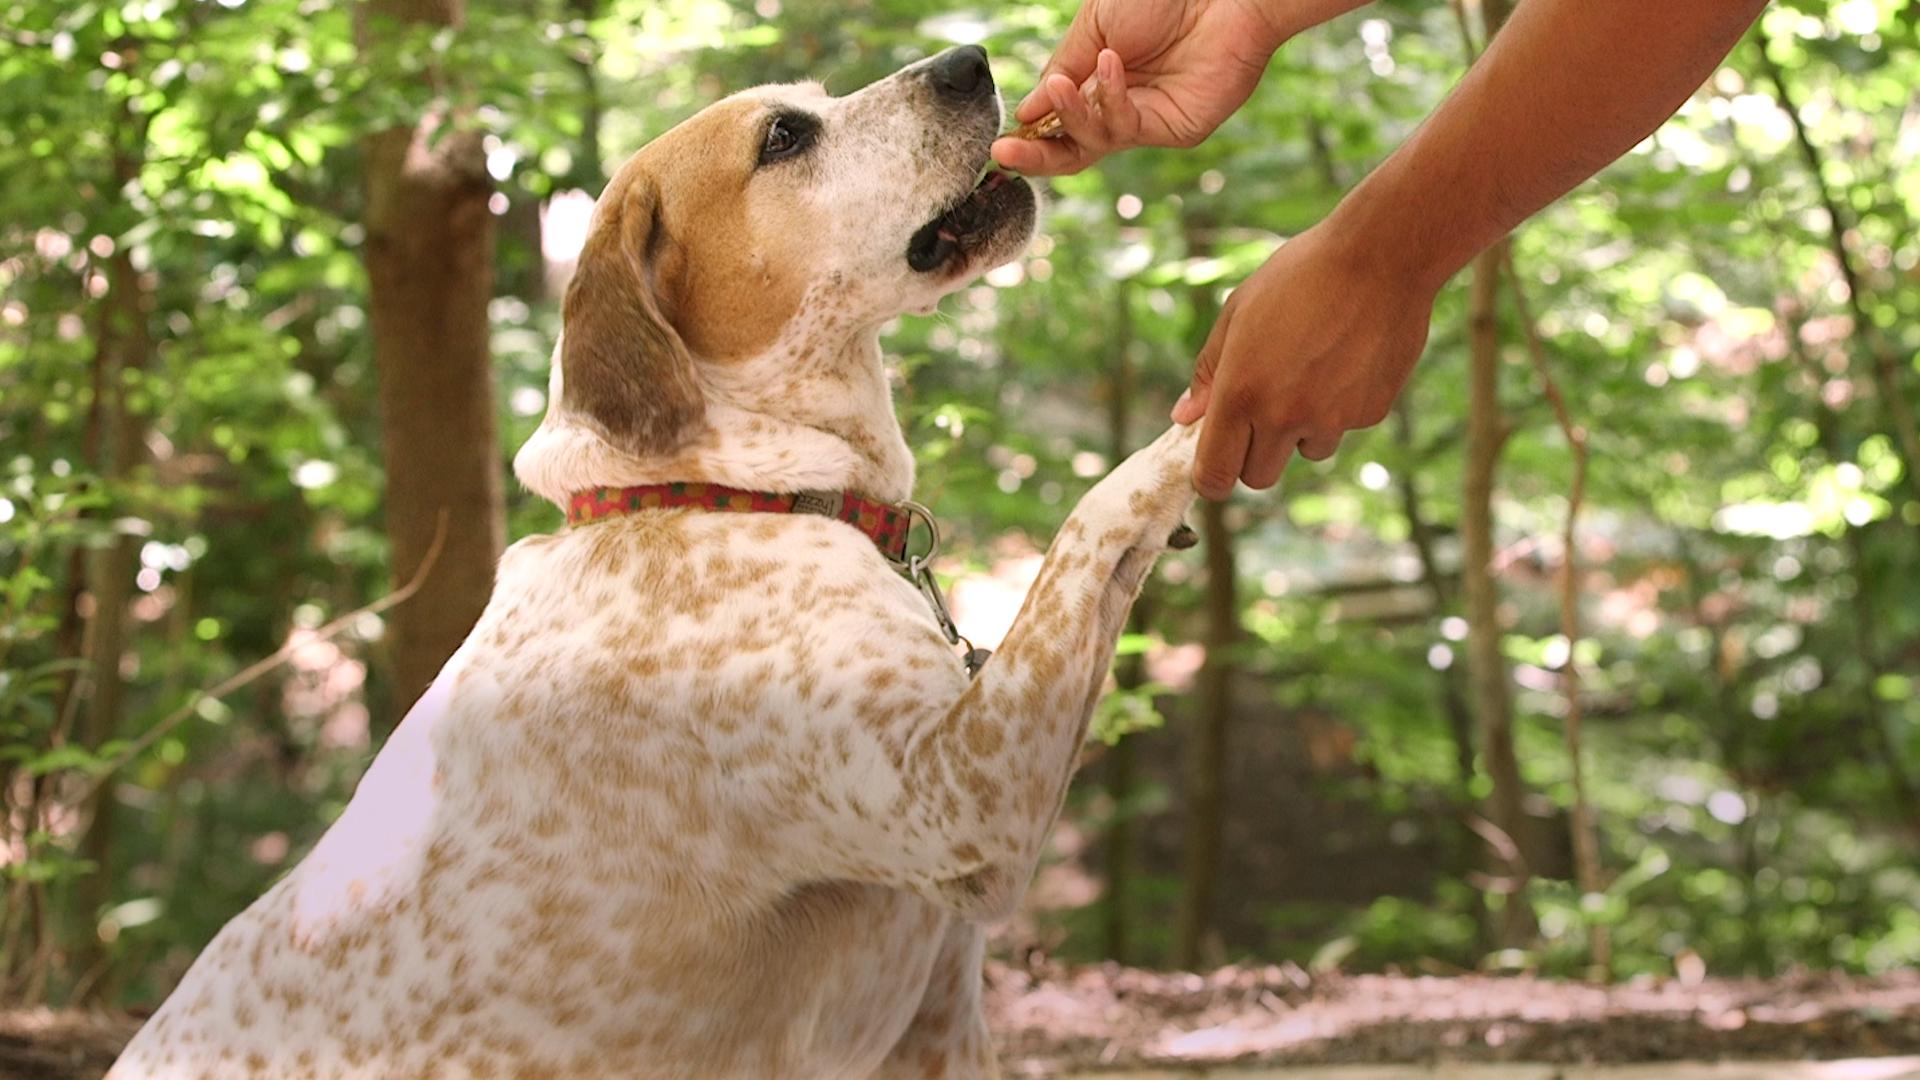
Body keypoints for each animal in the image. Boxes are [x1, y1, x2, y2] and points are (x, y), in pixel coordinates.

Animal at [108, 46, 1198, 1068]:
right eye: (784, 137)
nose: (969, 59)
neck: (710, 491)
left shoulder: (938, 1024)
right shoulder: (962, 790)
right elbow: (1098, 514)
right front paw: (1203, 417)